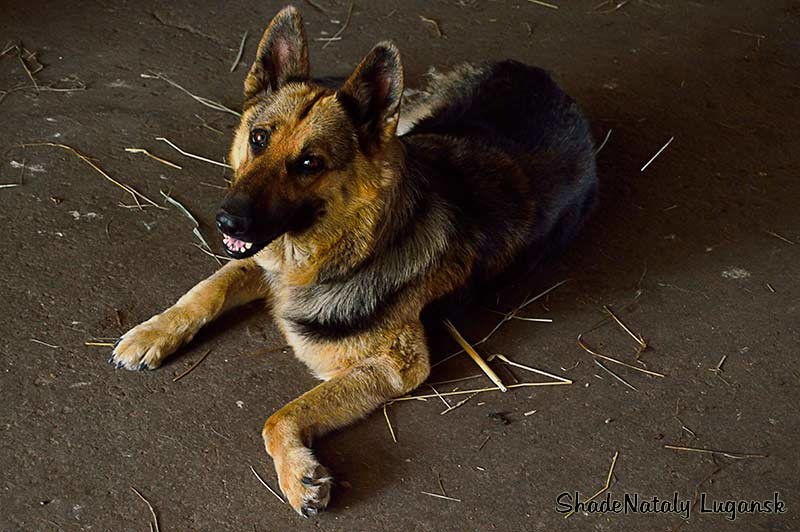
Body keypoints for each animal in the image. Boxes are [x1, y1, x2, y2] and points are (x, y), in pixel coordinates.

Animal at [109, 4, 596, 516]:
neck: (352, 244)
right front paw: (152, 332)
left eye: (309, 164)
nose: (227, 222)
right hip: (406, 125)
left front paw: (297, 471)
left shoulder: (395, 366)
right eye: (258, 139)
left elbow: (280, 415)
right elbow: (207, 289)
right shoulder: (262, 262)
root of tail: (539, 74)